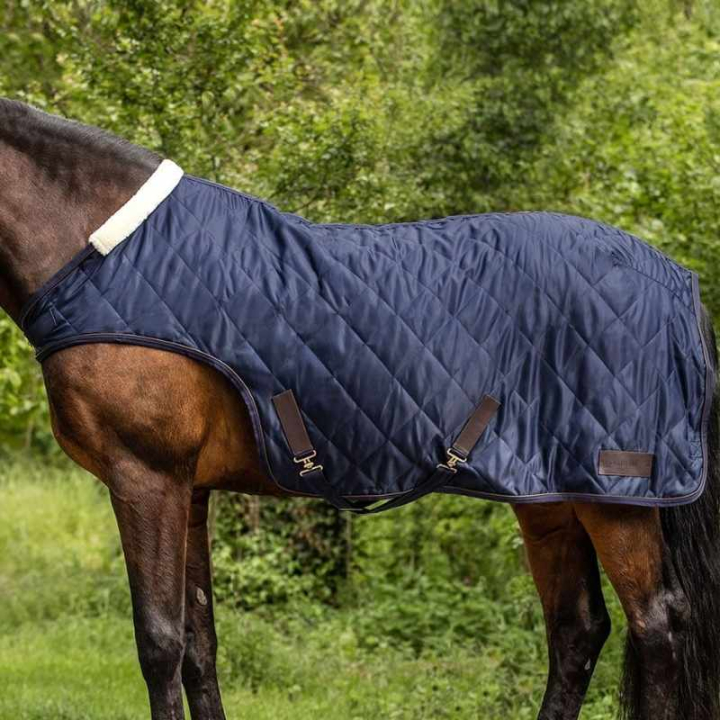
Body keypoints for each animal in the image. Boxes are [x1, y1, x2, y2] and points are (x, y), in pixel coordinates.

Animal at [1, 98, 719, 720]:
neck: (103, 254)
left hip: (617, 499)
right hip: (548, 494)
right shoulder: (191, 488)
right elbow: (200, 645)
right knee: (578, 628)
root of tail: (677, 280)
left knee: (657, 624)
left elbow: (159, 644)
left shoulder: (146, 477)